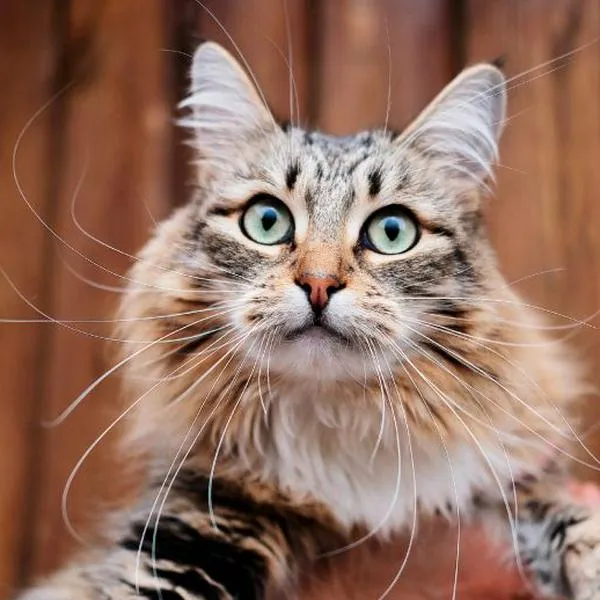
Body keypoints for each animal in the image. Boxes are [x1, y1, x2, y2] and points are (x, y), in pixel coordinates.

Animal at [16, 42, 600, 600]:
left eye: (392, 231)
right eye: (267, 221)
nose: (319, 285)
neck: (335, 426)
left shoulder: (511, 477)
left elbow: (571, 521)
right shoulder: (197, 523)